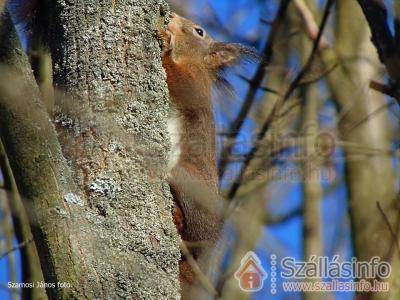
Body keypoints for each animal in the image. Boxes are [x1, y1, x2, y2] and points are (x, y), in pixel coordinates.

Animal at [159, 13, 256, 286]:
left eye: (199, 31)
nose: (171, 15)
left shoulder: (195, 85)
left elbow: (179, 82)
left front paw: (164, 45)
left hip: (185, 177)